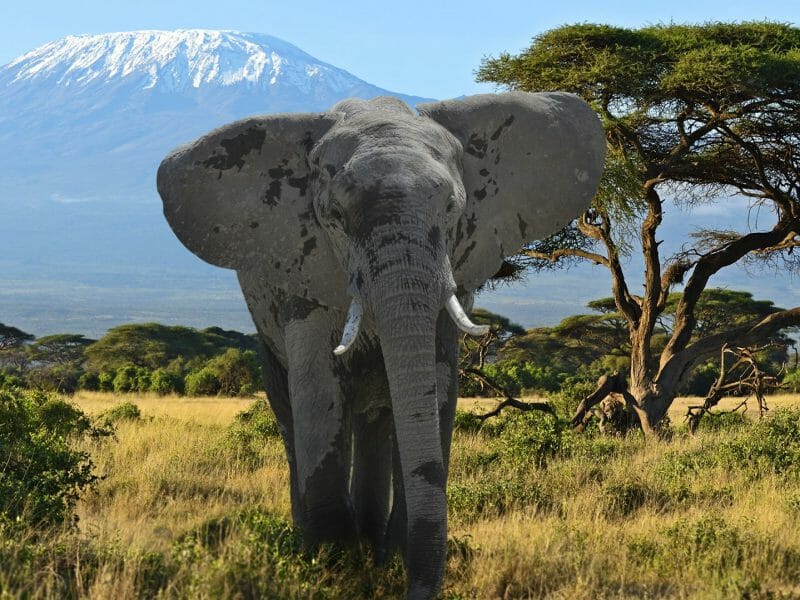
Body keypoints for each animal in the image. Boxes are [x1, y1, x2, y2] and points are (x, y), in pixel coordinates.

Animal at [157, 91, 605, 599]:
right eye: (334, 218)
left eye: (453, 209)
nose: (414, 589)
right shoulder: (302, 273)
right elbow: (317, 387)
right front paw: (331, 566)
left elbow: (437, 386)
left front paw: (382, 558)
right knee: (289, 409)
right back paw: (313, 541)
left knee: (375, 418)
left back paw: (373, 544)